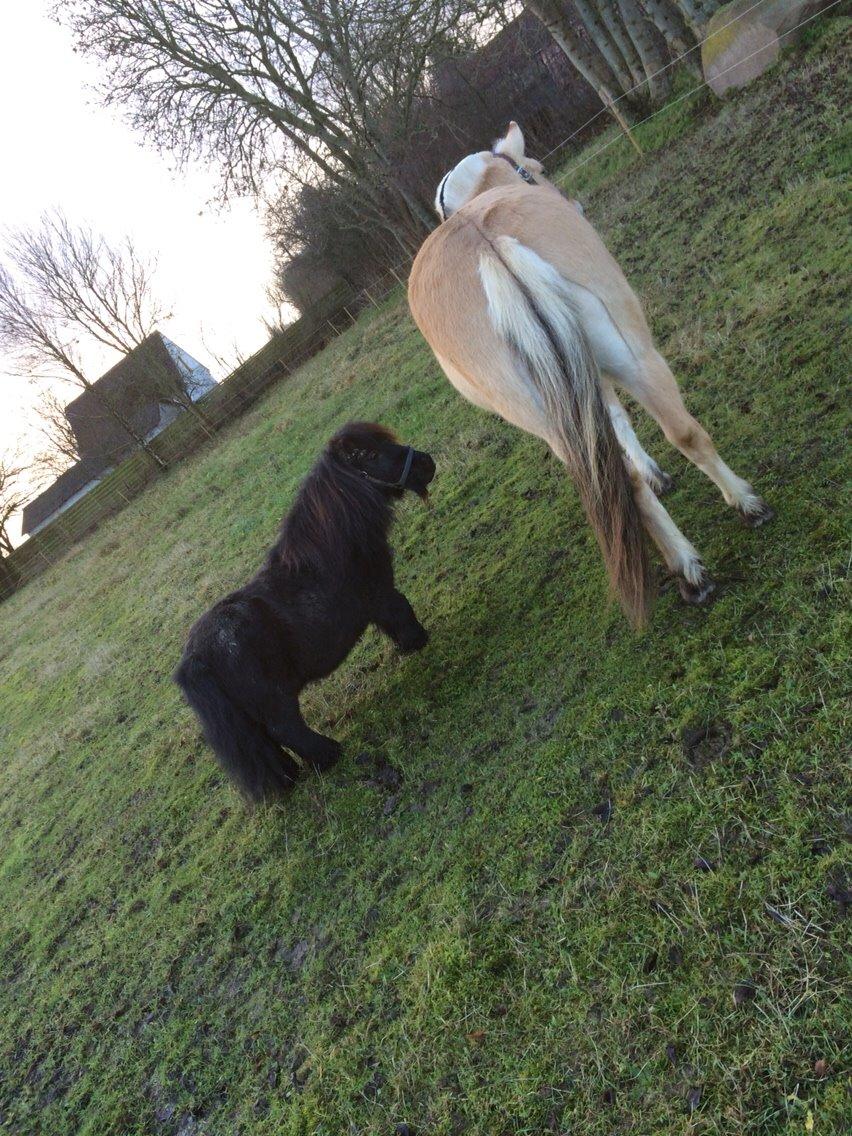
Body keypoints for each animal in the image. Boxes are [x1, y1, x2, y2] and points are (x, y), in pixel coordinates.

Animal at [174, 422, 436, 804]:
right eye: (371, 454)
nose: (426, 463)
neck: (332, 544)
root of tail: (195, 656)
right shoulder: (380, 594)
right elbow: (400, 612)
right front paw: (417, 641)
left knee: (270, 743)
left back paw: (293, 775)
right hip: (274, 700)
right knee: (286, 728)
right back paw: (329, 755)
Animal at [409, 122, 772, 627]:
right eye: (535, 170)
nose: (575, 204)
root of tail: (486, 246)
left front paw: (654, 477)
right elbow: (637, 422)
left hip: (546, 420)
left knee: (616, 478)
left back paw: (689, 572)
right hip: (632, 355)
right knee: (684, 432)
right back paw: (747, 505)